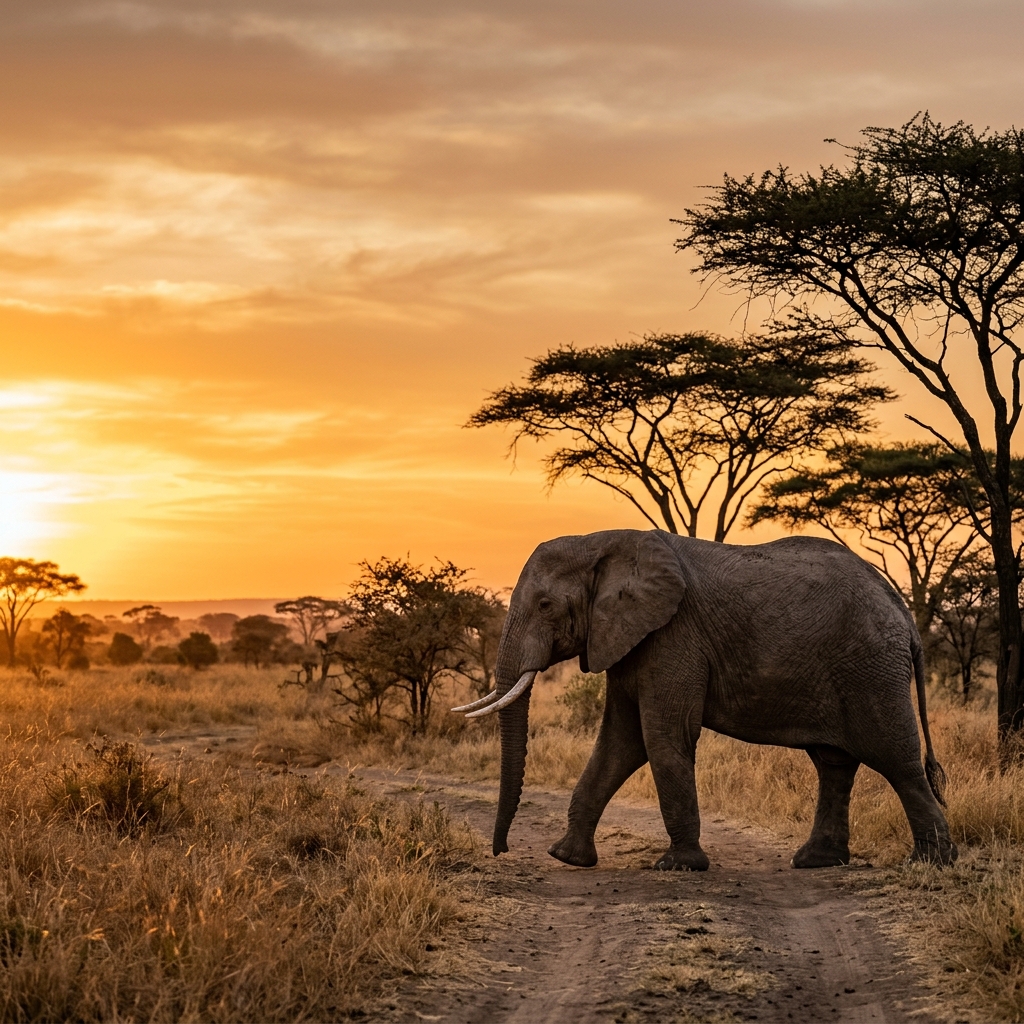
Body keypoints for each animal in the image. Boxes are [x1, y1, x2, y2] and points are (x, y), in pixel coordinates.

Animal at [453, 529, 956, 870]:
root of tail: (903, 612)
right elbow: (619, 743)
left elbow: (662, 737)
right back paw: (815, 861)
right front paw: (567, 858)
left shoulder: (674, 635)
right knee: (834, 763)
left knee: (896, 760)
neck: (602, 541)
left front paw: (678, 866)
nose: (501, 851)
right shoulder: (629, 638)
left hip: (871, 668)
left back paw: (931, 863)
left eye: (544, 606)